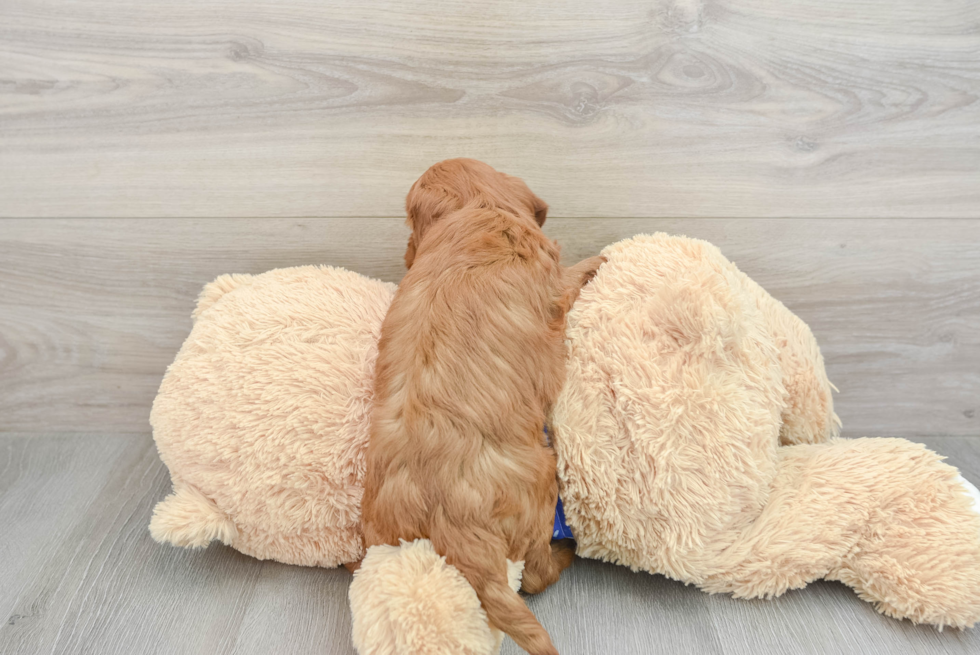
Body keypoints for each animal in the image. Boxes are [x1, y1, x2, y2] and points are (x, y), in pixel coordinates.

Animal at [362, 160, 604, 655]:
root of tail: (448, 525)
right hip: (540, 485)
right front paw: (597, 261)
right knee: (534, 576)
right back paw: (565, 551)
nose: (405, 253)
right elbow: (572, 276)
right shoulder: (553, 280)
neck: (479, 208)